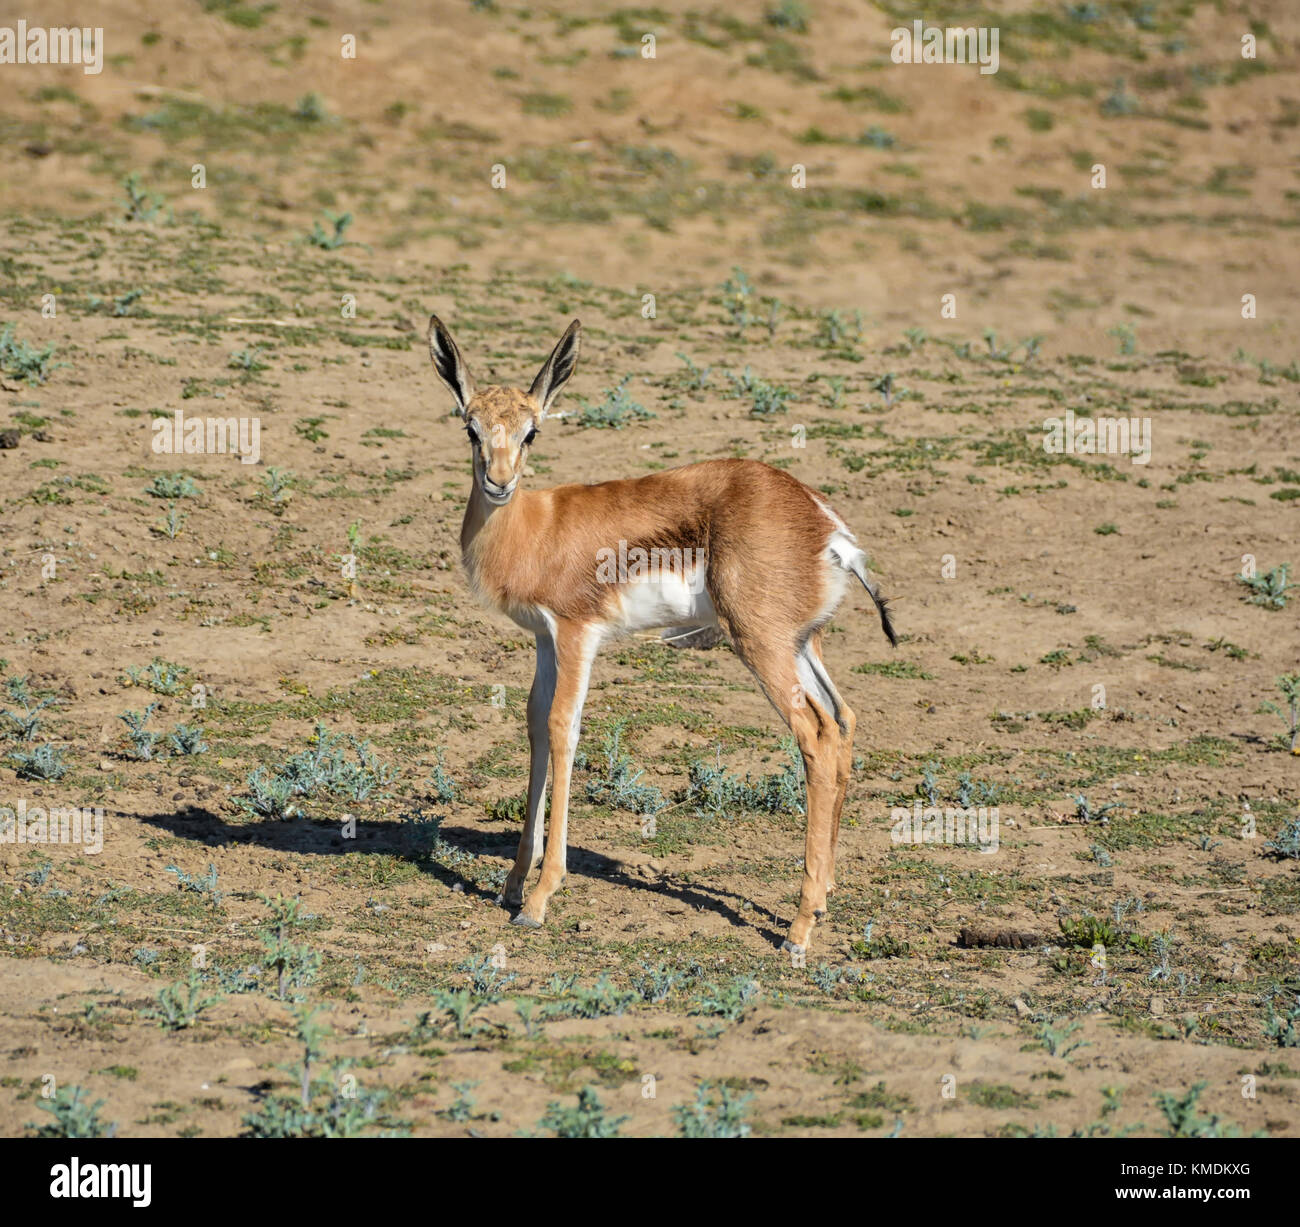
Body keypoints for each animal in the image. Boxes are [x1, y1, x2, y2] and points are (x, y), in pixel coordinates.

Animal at [428, 315, 896, 956]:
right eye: (471, 428)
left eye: (531, 433)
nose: (499, 483)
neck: (533, 530)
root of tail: (826, 526)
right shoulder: (545, 640)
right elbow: (535, 725)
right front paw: (513, 886)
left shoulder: (577, 634)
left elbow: (563, 728)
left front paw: (541, 899)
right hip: (801, 646)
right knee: (844, 720)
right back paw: (822, 900)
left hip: (762, 646)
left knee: (816, 735)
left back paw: (798, 931)